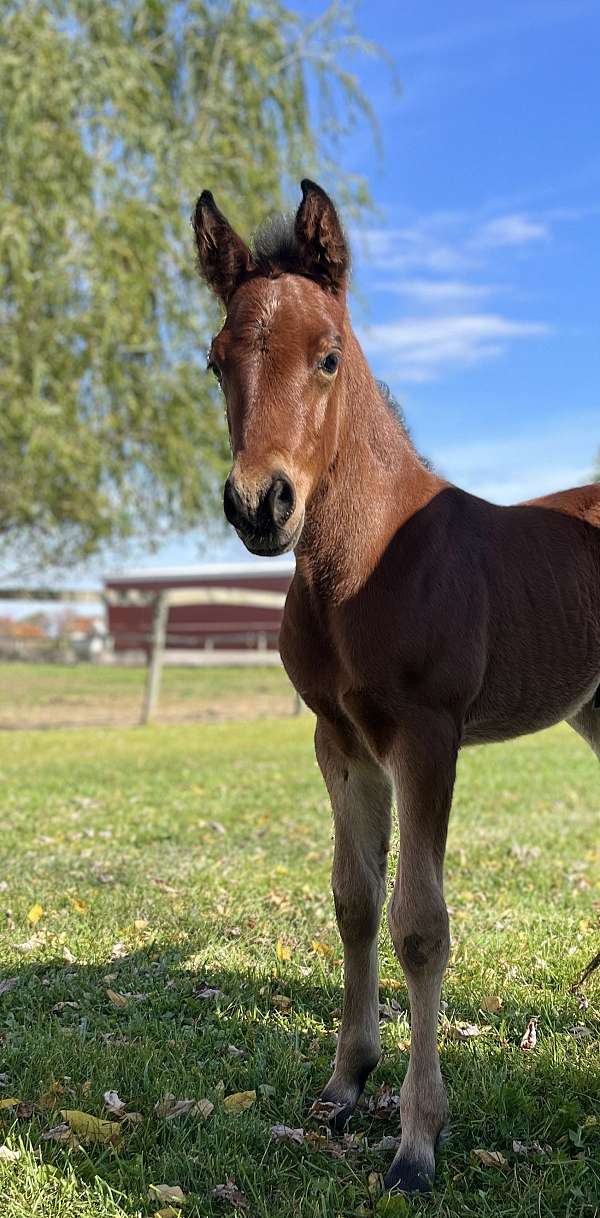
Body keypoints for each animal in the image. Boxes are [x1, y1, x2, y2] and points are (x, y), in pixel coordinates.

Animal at [193, 177, 598, 1188]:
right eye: (216, 362)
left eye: (329, 357)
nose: (260, 504)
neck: (367, 559)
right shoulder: (339, 739)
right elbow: (354, 900)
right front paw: (345, 1086)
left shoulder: (428, 736)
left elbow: (420, 923)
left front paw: (417, 1140)